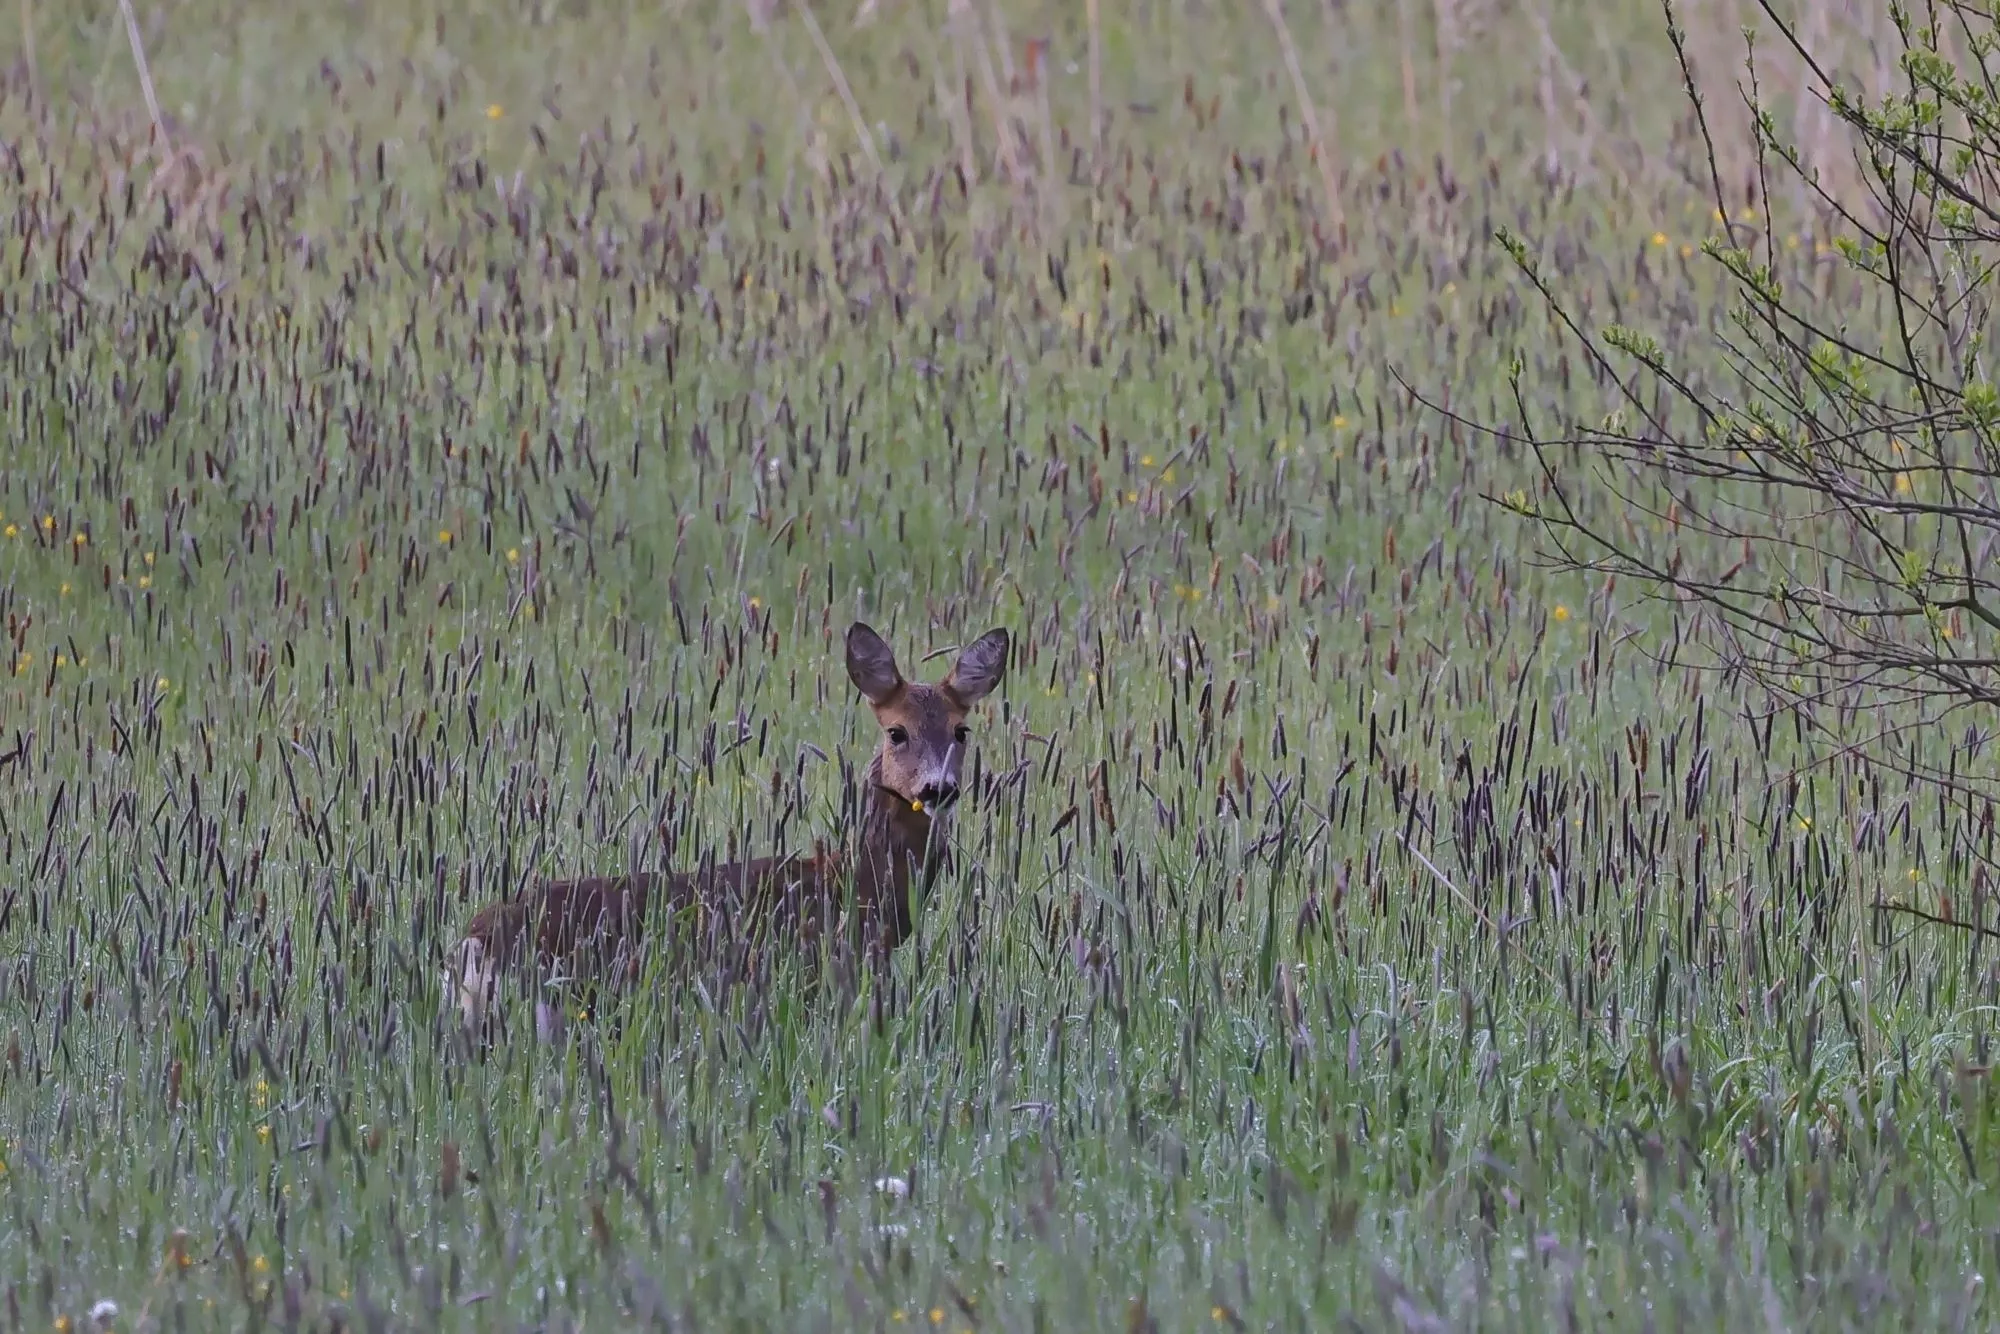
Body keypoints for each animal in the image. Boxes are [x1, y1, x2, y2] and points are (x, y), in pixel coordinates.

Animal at [447, 620, 1010, 1033]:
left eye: (961, 730)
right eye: (897, 732)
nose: (938, 789)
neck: (858, 882)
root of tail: (474, 939)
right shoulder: (817, 973)